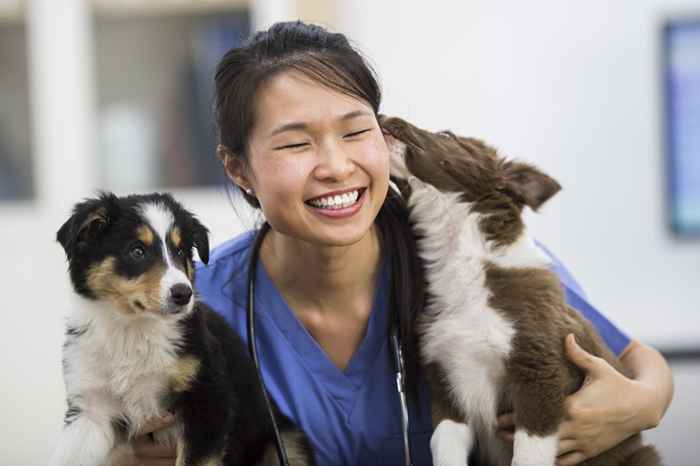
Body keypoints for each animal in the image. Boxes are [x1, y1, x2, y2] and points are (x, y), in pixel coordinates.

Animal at [380, 117, 660, 466]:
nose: (384, 118)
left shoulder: (539, 378)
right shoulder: (445, 387)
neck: (465, 262)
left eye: (447, 135)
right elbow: (443, 447)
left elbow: (527, 456)